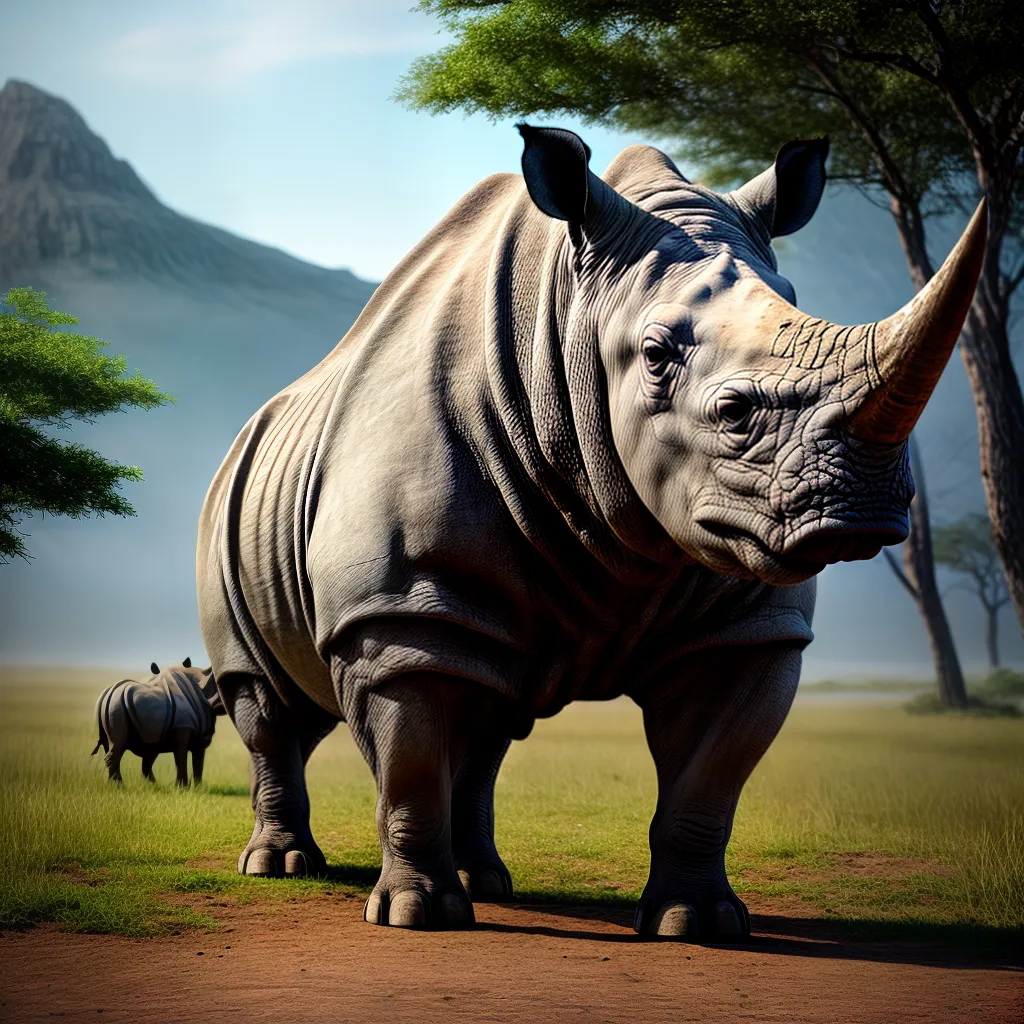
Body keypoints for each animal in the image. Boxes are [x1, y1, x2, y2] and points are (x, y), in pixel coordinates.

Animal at [92, 658, 224, 786]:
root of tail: (108, 692)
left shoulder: (200, 736)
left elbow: (198, 762)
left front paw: (198, 788)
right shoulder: (183, 727)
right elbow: (181, 758)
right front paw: (182, 788)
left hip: (121, 708)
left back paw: (153, 786)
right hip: (117, 705)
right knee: (118, 746)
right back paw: (119, 786)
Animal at [196, 125, 985, 939]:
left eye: (800, 307)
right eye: (657, 355)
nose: (858, 503)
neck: (566, 322)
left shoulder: (743, 618)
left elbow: (711, 774)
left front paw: (698, 921)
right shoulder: (395, 613)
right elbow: (408, 757)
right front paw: (417, 916)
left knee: (486, 715)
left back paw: (489, 881)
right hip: (227, 506)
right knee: (267, 703)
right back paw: (284, 867)